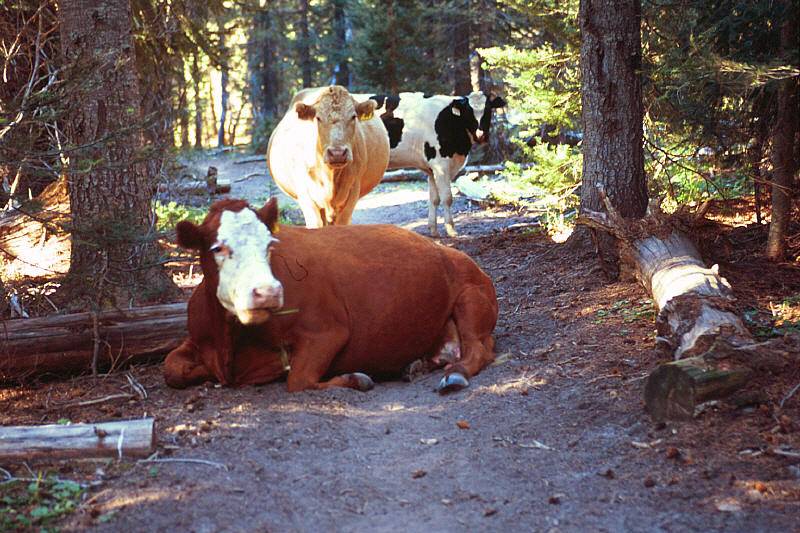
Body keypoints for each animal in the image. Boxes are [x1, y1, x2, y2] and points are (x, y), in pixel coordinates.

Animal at [162, 197, 496, 392]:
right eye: (218, 248)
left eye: (270, 244)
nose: (267, 292)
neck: (228, 344)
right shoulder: (197, 339)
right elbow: (171, 368)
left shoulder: (327, 331)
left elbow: (298, 381)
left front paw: (354, 378)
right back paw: (416, 365)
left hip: (471, 298)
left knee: (479, 350)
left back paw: (454, 374)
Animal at [356, 91, 506, 237]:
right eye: (468, 112)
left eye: (488, 110)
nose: (481, 135)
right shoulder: (441, 165)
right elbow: (447, 198)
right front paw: (451, 230)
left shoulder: (431, 169)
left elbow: (434, 199)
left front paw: (433, 230)